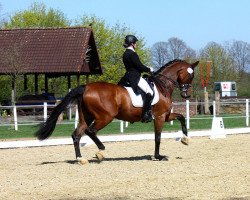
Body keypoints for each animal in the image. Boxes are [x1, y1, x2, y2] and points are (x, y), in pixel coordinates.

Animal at [35, 59, 199, 164]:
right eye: (191, 75)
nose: (186, 95)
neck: (162, 85)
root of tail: (85, 87)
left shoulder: (166, 115)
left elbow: (181, 117)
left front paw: (185, 139)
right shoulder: (159, 117)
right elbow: (157, 137)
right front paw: (158, 156)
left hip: (85, 117)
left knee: (77, 135)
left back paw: (81, 159)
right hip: (105, 117)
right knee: (90, 131)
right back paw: (100, 152)